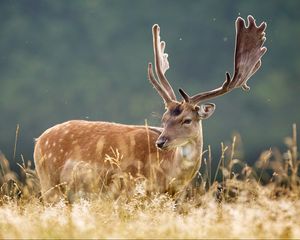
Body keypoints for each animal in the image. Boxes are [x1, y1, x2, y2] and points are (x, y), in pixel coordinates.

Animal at [34, 15, 266, 202]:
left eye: (187, 120)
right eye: (164, 119)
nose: (161, 142)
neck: (168, 176)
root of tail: (39, 141)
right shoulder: (129, 189)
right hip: (49, 184)